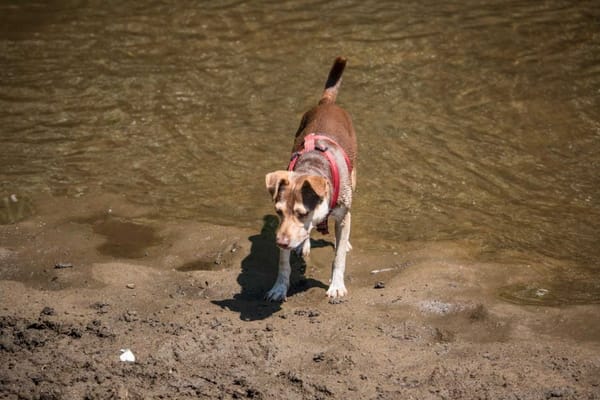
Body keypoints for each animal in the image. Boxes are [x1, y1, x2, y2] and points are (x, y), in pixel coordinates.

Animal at [265, 56, 357, 301]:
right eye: (278, 212)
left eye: (302, 213)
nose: (280, 242)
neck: (312, 166)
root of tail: (327, 102)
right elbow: (283, 264)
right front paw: (279, 288)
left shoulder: (342, 215)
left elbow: (338, 257)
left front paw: (336, 286)